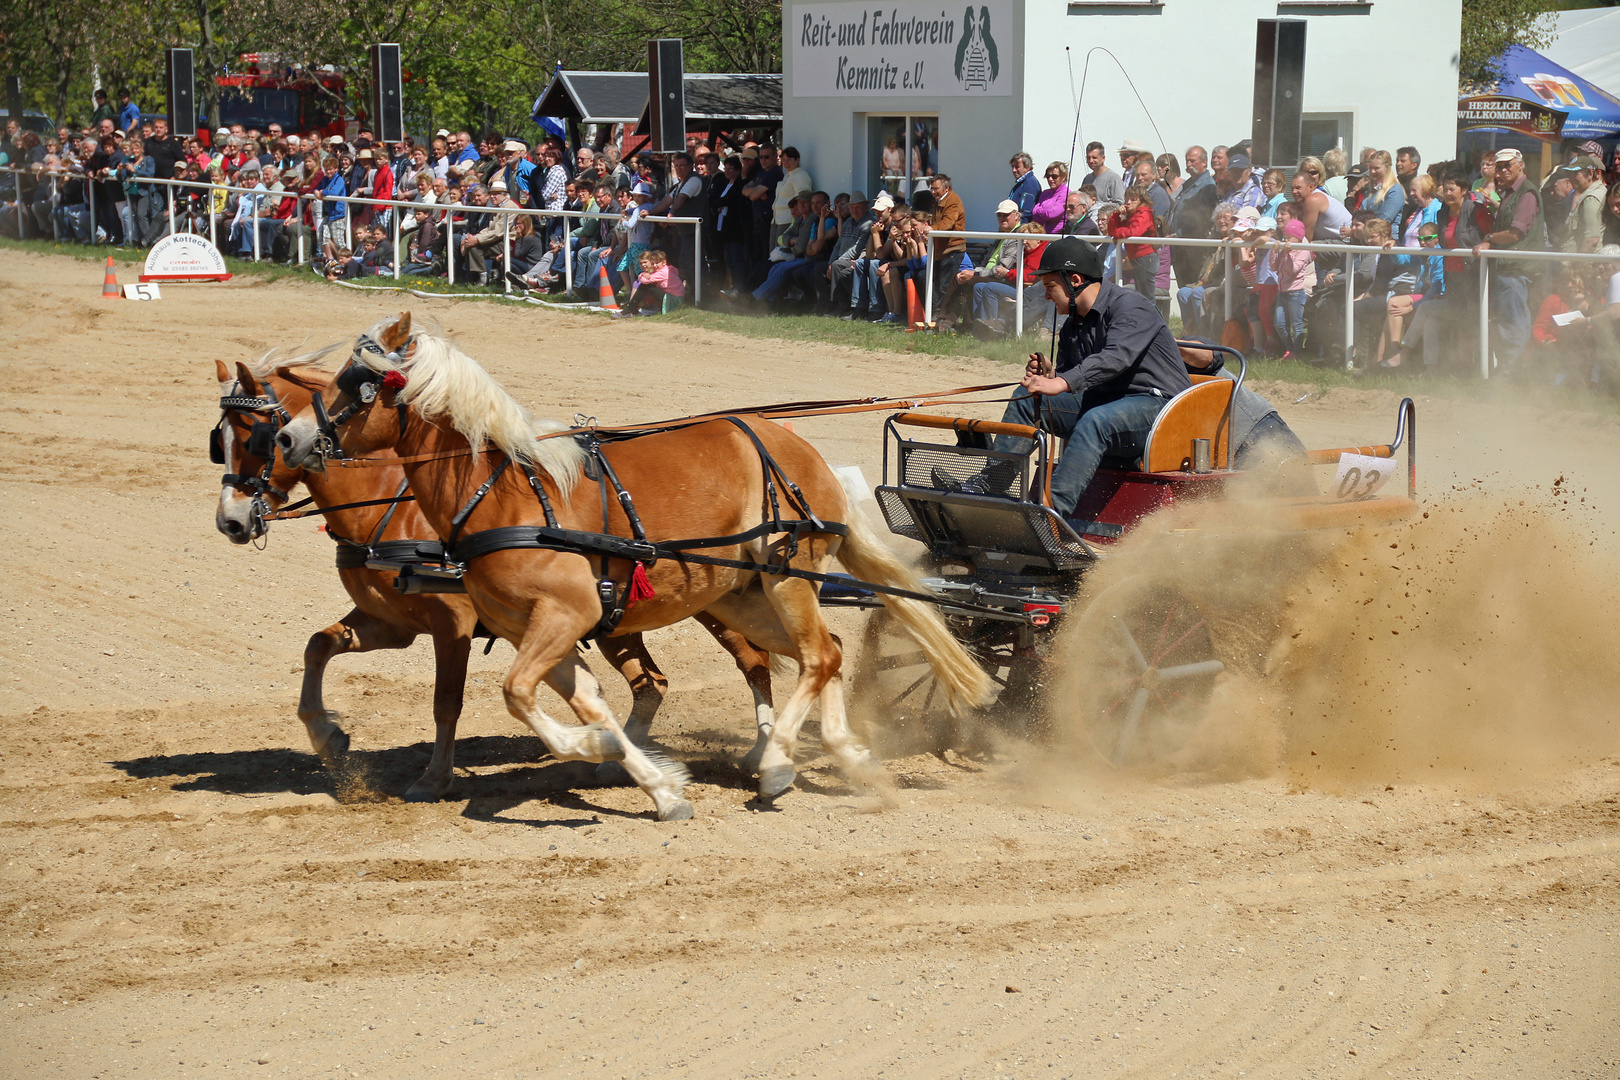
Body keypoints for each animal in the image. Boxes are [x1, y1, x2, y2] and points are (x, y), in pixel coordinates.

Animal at [213, 354, 777, 803]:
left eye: (257, 437)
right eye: (220, 440)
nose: (231, 522)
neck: (392, 504)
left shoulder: (452, 624)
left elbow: (446, 702)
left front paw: (434, 778)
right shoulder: (390, 623)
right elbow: (318, 645)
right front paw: (328, 737)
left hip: (713, 602)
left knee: (753, 663)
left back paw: (760, 755)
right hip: (623, 617)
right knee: (651, 684)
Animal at [275, 312, 984, 819]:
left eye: (359, 384)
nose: (289, 437)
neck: (500, 494)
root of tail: (799, 450)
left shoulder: (563, 614)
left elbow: (518, 695)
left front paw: (599, 753)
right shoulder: (538, 628)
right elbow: (585, 701)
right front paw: (654, 783)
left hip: (786, 578)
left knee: (814, 657)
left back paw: (778, 763)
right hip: (741, 597)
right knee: (828, 651)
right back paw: (843, 758)